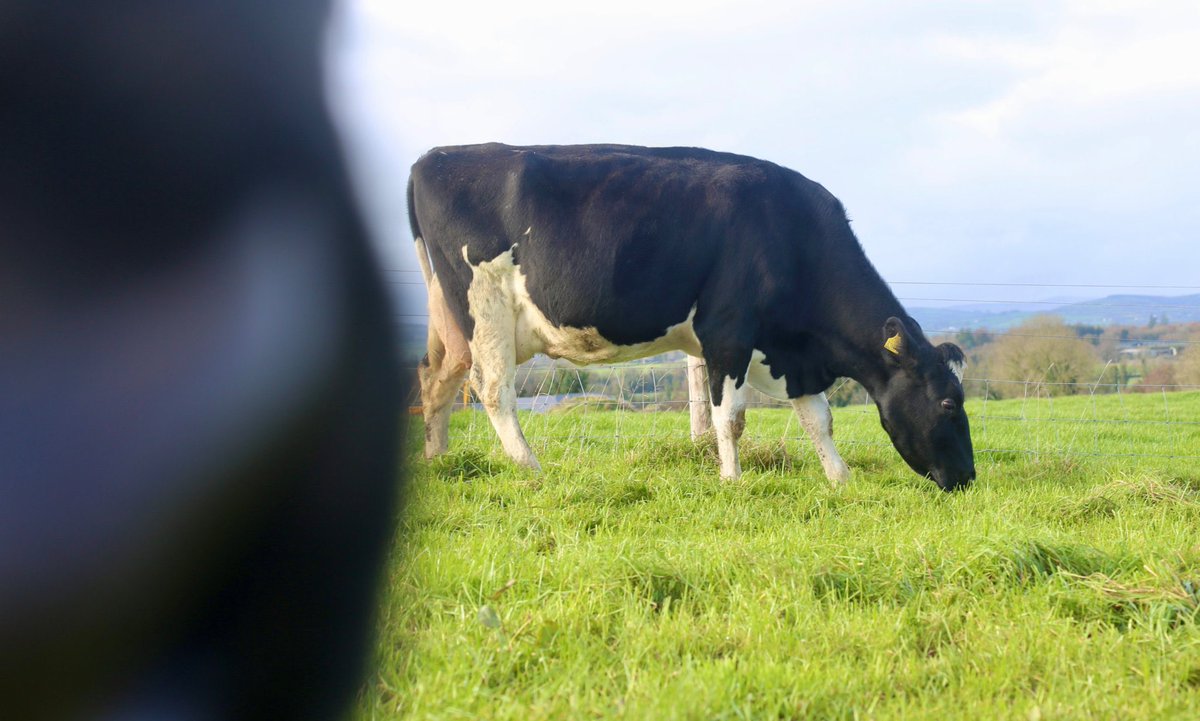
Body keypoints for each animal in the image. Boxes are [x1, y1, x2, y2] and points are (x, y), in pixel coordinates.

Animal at [409, 143, 974, 491]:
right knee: (493, 388)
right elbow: (730, 418)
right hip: (484, 305)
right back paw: (530, 467)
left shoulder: (788, 353)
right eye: (948, 403)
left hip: (447, 318)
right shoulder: (729, 333)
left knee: (436, 380)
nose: (968, 479)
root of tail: (436, 157)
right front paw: (732, 479)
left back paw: (437, 460)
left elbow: (818, 418)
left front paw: (841, 479)